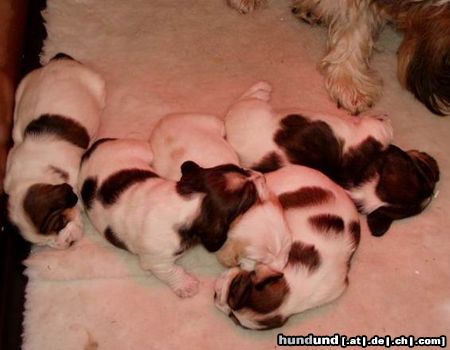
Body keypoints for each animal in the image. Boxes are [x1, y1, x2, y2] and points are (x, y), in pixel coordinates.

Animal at [3, 52, 105, 249]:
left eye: (60, 224)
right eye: (44, 242)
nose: (67, 244)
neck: (31, 175)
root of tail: (58, 60)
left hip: (95, 83)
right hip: (22, 86)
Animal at [225, 80, 440, 237]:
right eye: (421, 170)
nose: (436, 170)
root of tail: (227, 135)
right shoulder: (372, 133)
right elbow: (382, 127)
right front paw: (382, 118)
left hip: (250, 109)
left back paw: (261, 89)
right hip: (249, 109)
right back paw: (262, 88)